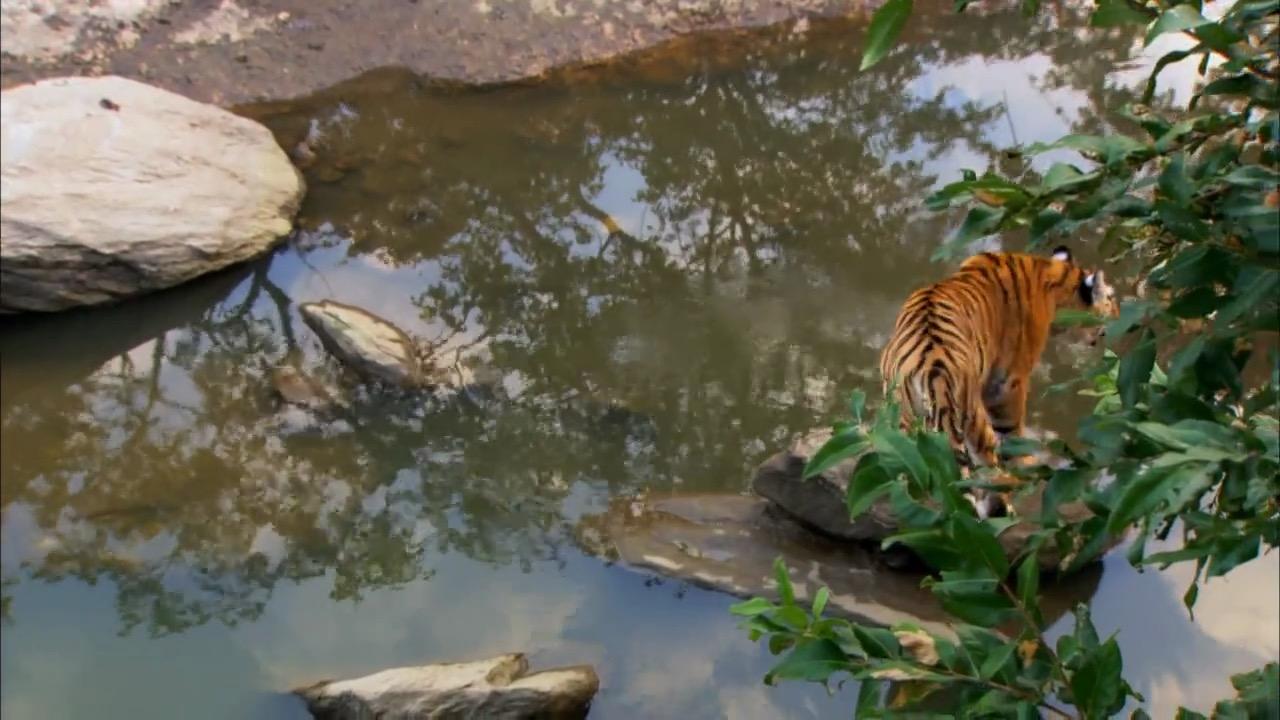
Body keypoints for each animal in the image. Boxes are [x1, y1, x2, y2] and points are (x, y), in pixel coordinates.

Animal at [880, 245, 1121, 515]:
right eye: (1111, 297)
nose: (1120, 315)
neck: (1049, 277)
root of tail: (933, 372)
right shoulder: (1008, 384)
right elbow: (1011, 429)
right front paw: (1025, 460)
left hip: (903, 419)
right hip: (972, 420)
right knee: (987, 477)